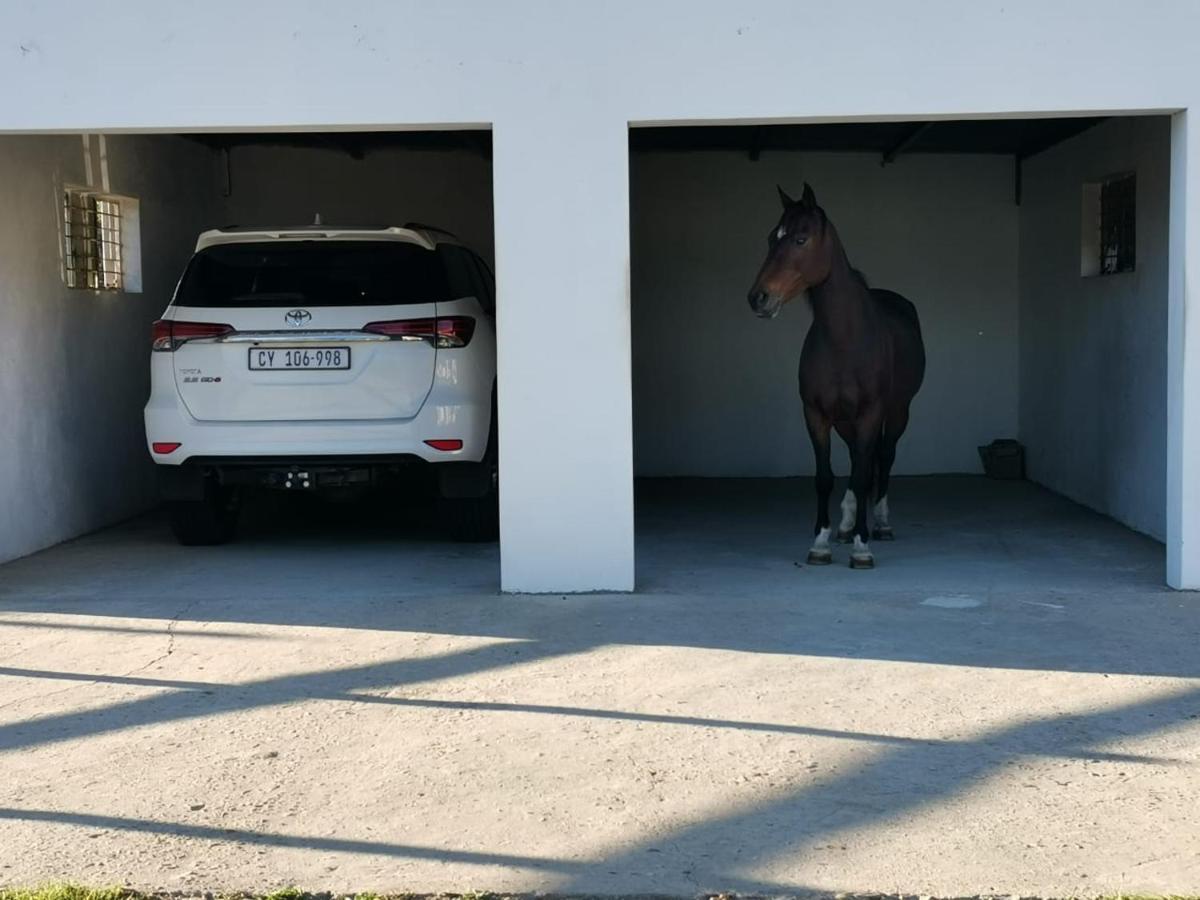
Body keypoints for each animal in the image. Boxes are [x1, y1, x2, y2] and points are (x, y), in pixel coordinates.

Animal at [744, 183, 921, 571]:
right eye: (771, 237)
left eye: (801, 238)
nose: (758, 298)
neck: (845, 340)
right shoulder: (816, 414)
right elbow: (825, 477)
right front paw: (822, 542)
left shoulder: (871, 412)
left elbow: (865, 471)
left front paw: (862, 547)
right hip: (844, 421)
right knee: (858, 458)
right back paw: (846, 524)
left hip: (898, 411)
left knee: (883, 458)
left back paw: (880, 525)